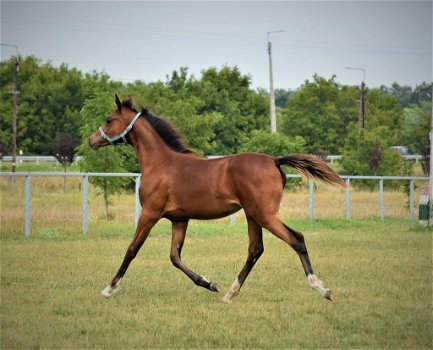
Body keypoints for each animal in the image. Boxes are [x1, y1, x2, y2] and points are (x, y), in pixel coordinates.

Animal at [88, 94, 344, 302]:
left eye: (109, 120)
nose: (91, 140)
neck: (160, 163)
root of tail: (274, 160)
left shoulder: (150, 214)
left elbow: (132, 249)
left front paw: (109, 289)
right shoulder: (179, 220)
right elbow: (174, 257)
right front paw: (209, 283)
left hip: (266, 215)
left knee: (296, 239)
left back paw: (322, 289)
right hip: (253, 215)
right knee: (255, 250)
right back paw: (230, 293)